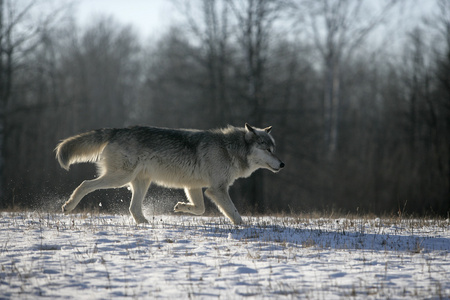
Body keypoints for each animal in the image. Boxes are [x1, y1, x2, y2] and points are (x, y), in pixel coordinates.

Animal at [53, 123, 284, 224]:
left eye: (274, 148)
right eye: (268, 149)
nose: (282, 164)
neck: (230, 148)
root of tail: (117, 129)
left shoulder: (194, 187)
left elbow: (199, 209)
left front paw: (180, 207)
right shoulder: (217, 190)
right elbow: (235, 214)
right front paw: (244, 227)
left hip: (140, 182)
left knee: (133, 208)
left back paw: (146, 224)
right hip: (120, 178)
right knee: (85, 184)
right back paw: (68, 206)